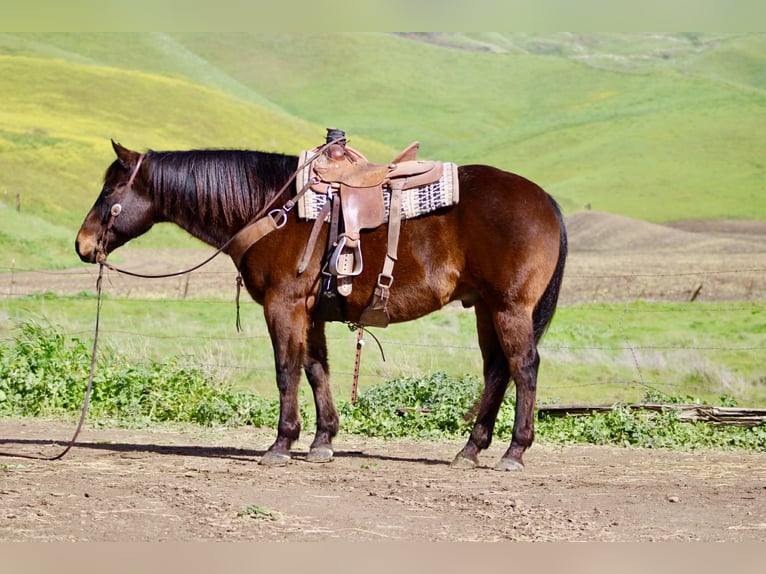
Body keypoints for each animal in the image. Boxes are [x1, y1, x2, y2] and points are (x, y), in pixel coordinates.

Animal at [76, 139, 567, 471]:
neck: (271, 208)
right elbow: (316, 369)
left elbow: (286, 369)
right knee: (497, 371)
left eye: (109, 192)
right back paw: (470, 449)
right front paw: (322, 441)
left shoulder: (283, 304)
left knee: (523, 366)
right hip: (485, 308)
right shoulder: (309, 313)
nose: (82, 245)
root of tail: (545, 200)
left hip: (509, 307)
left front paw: (281, 443)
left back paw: (514, 451)